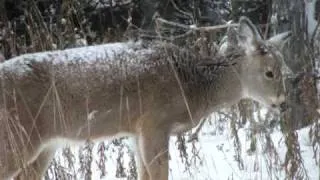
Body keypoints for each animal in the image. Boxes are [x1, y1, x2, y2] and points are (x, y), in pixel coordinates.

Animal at [0, 16, 290, 179]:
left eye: (283, 68)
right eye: (270, 72)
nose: (283, 103)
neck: (191, 85)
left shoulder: (136, 131)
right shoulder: (155, 122)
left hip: (43, 147)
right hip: (16, 139)